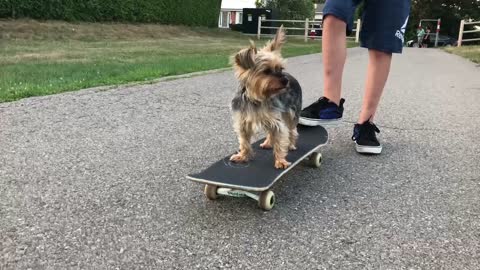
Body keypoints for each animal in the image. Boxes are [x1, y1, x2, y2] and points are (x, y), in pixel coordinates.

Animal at [231, 25, 302, 169]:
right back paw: (268, 142)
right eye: (266, 71)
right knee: (270, 131)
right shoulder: (242, 121)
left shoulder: (276, 120)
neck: (256, 97)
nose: (285, 80)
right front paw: (242, 156)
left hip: (291, 113)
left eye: (280, 69)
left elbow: (280, 140)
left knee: (292, 129)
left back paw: (291, 144)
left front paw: (280, 161)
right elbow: (244, 141)